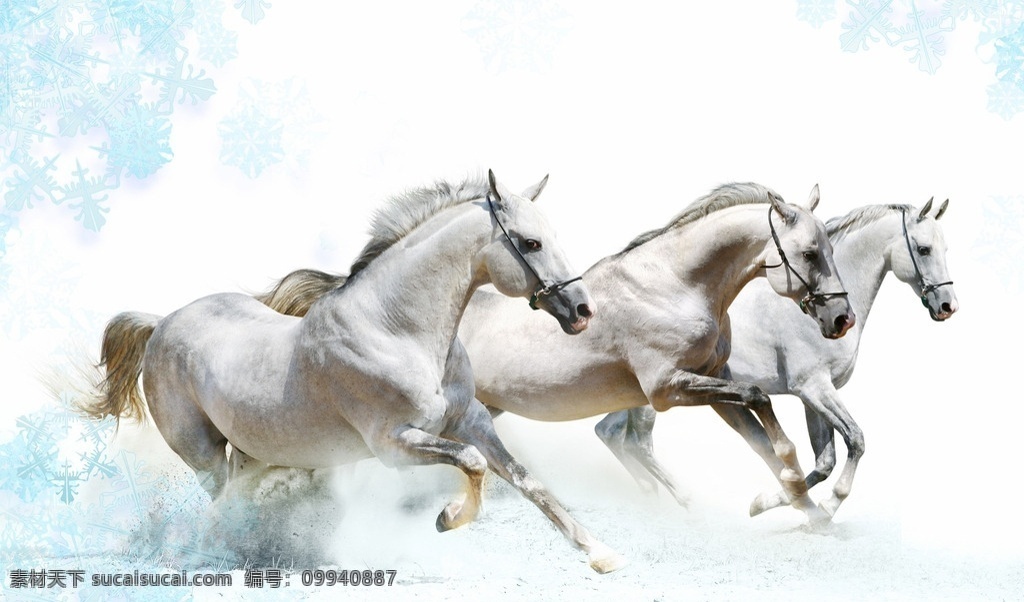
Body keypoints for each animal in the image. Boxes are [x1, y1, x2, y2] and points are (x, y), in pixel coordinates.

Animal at [81, 170, 622, 573]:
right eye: (530, 243)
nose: (582, 310)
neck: (396, 330)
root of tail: (162, 322)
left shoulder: (472, 420)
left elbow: (526, 480)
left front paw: (601, 554)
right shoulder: (394, 445)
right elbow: (472, 463)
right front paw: (448, 519)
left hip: (253, 451)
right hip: (203, 456)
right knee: (223, 501)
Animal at [258, 182, 856, 522]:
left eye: (828, 248)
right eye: (810, 252)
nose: (840, 319)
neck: (676, 284)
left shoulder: (710, 386)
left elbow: (764, 434)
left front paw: (802, 509)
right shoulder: (668, 389)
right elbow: (761, 400)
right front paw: (796, 497)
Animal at [598, 199, 954, 520]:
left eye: (945, 248)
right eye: (924, 249)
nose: (948, 305)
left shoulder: (813, 396)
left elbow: (824, 461)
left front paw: (773, 503)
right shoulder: (814, 388)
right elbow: (855, 439)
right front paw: (825, 506)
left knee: (610, 433)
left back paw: (652, 497)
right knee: (637, 443)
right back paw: (683, 501)